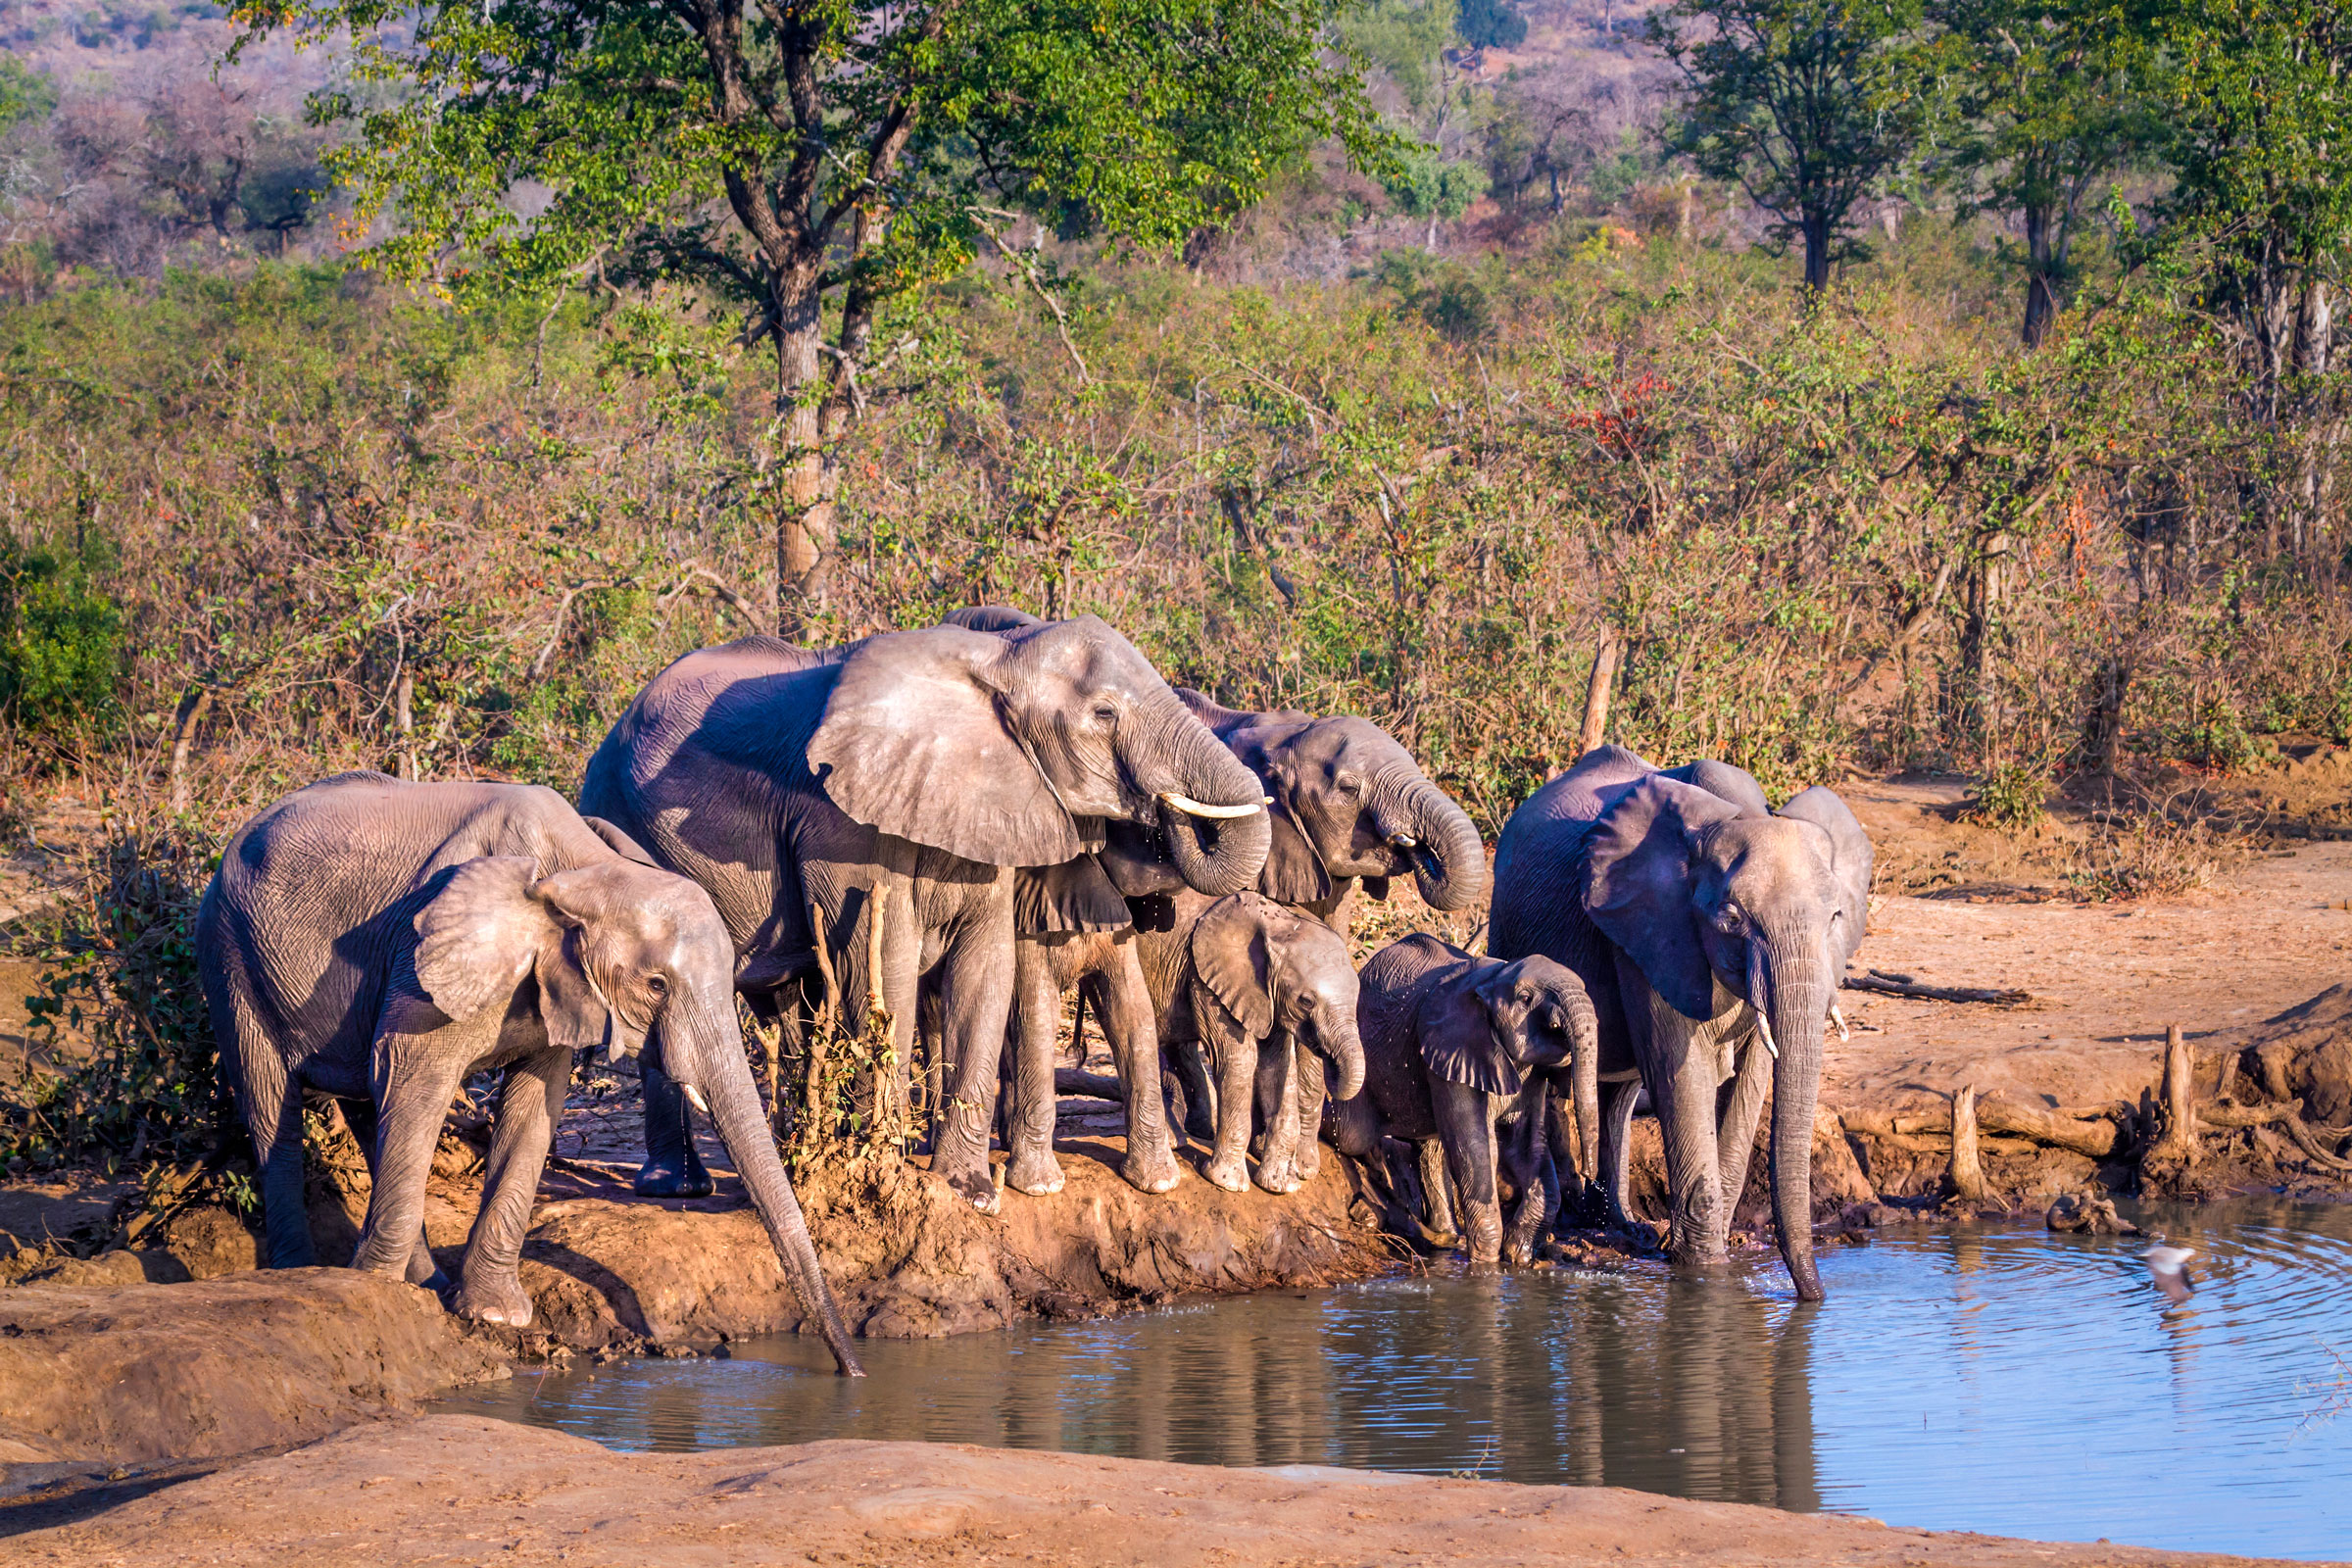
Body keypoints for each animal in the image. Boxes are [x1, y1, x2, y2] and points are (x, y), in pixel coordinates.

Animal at [194, 773, 862, 1372]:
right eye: (656, 985)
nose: (849, 1374)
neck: (583, 874)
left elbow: (534, 1104)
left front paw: (492, 1314)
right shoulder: (425, 955)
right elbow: (410, 1077)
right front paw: (378, 1292)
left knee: (361, 1104)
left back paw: (425, 1283)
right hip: (227, 952)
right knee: (272, 1104)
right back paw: (304, 1272)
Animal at [578, 616, 1273, 1213]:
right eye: (1104, 714)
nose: (1164, 813)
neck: (995, 661)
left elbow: (985, 970)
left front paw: (969, 1191)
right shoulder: (841, 824)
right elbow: (883, 967)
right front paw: (879, 1172)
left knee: (783, 1003)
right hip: (621, 824)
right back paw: (677, 1187)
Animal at [1329, 934, 1600, 1264]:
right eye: (1525, 998)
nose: (1588, 1175)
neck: (1495, 977)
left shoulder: (1527, 1070)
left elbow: (1525, 1144)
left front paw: (1518, 1255)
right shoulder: (1452, 1044)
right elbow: (1476, 1147)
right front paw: (1486, 1261)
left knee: (1431, 1148)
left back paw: (1447, 1236)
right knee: (1352, 1135)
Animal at [1488, 746, 1871, 1301]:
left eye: (1837, 916)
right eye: (1731, 920)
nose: (1813, 1299)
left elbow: (1752, 1076)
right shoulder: (1648, 929)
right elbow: (1679, 1070)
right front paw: (1701, 1270)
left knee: (1618, 1092)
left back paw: (1622, 1226)